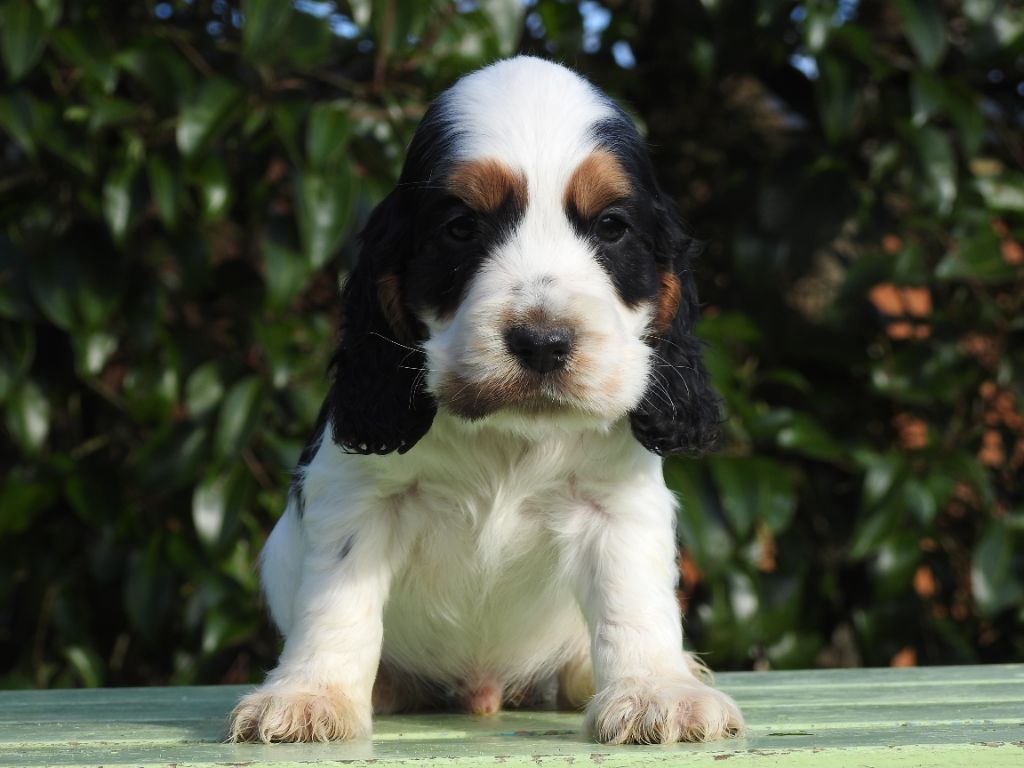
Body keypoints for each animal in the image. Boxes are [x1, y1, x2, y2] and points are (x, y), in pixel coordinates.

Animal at [230, 57, 745, 749]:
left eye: (611, 226)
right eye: (461, 227)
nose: (543, 343)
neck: (509, 435)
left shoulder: (618, 505)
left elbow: (633, 602)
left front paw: (657, 693)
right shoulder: (359, 498)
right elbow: (338, 602)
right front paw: (311, 695)